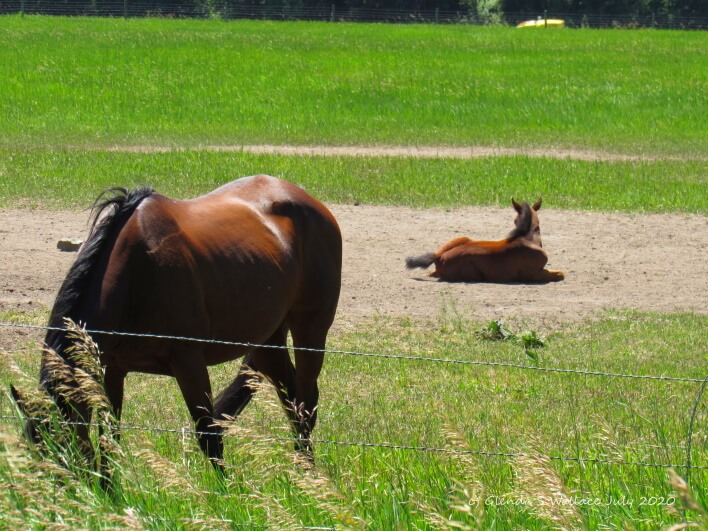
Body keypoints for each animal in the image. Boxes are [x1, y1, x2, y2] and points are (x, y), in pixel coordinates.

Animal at [11, 175, 342, 472]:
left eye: (59, 447)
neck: (135, 278)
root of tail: (310, 202)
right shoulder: (113, 367)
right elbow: (110, 436)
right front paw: (112, 491)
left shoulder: (189, 363)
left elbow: (209, 435)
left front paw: (227, 495)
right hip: (266, 340)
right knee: (291, 400)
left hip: (310, 329)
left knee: (305, 403)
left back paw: (310, 477)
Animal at [405, 198, 564, 283]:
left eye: (514, 220)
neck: (527, 238)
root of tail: (439, 257)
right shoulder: (533, 274)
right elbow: (561, 274)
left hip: (461, 238)